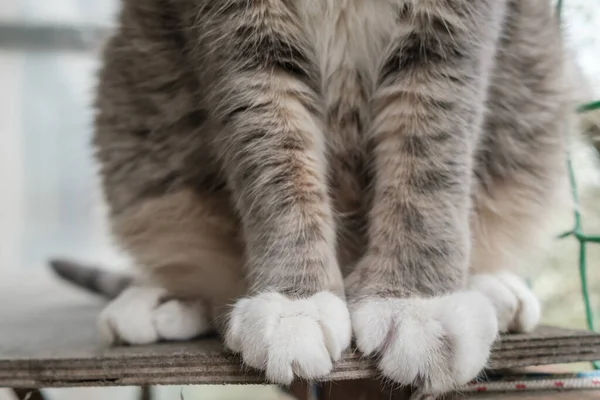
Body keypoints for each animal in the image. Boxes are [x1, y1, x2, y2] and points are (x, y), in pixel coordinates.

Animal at [50, 0, 572, 396]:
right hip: (134, 106)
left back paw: (494, 290)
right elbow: (273, 141)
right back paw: (162, 304)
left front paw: (417, 302)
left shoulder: (455, 26)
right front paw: (295, 300)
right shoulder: (236, 26)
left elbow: (429, 145)